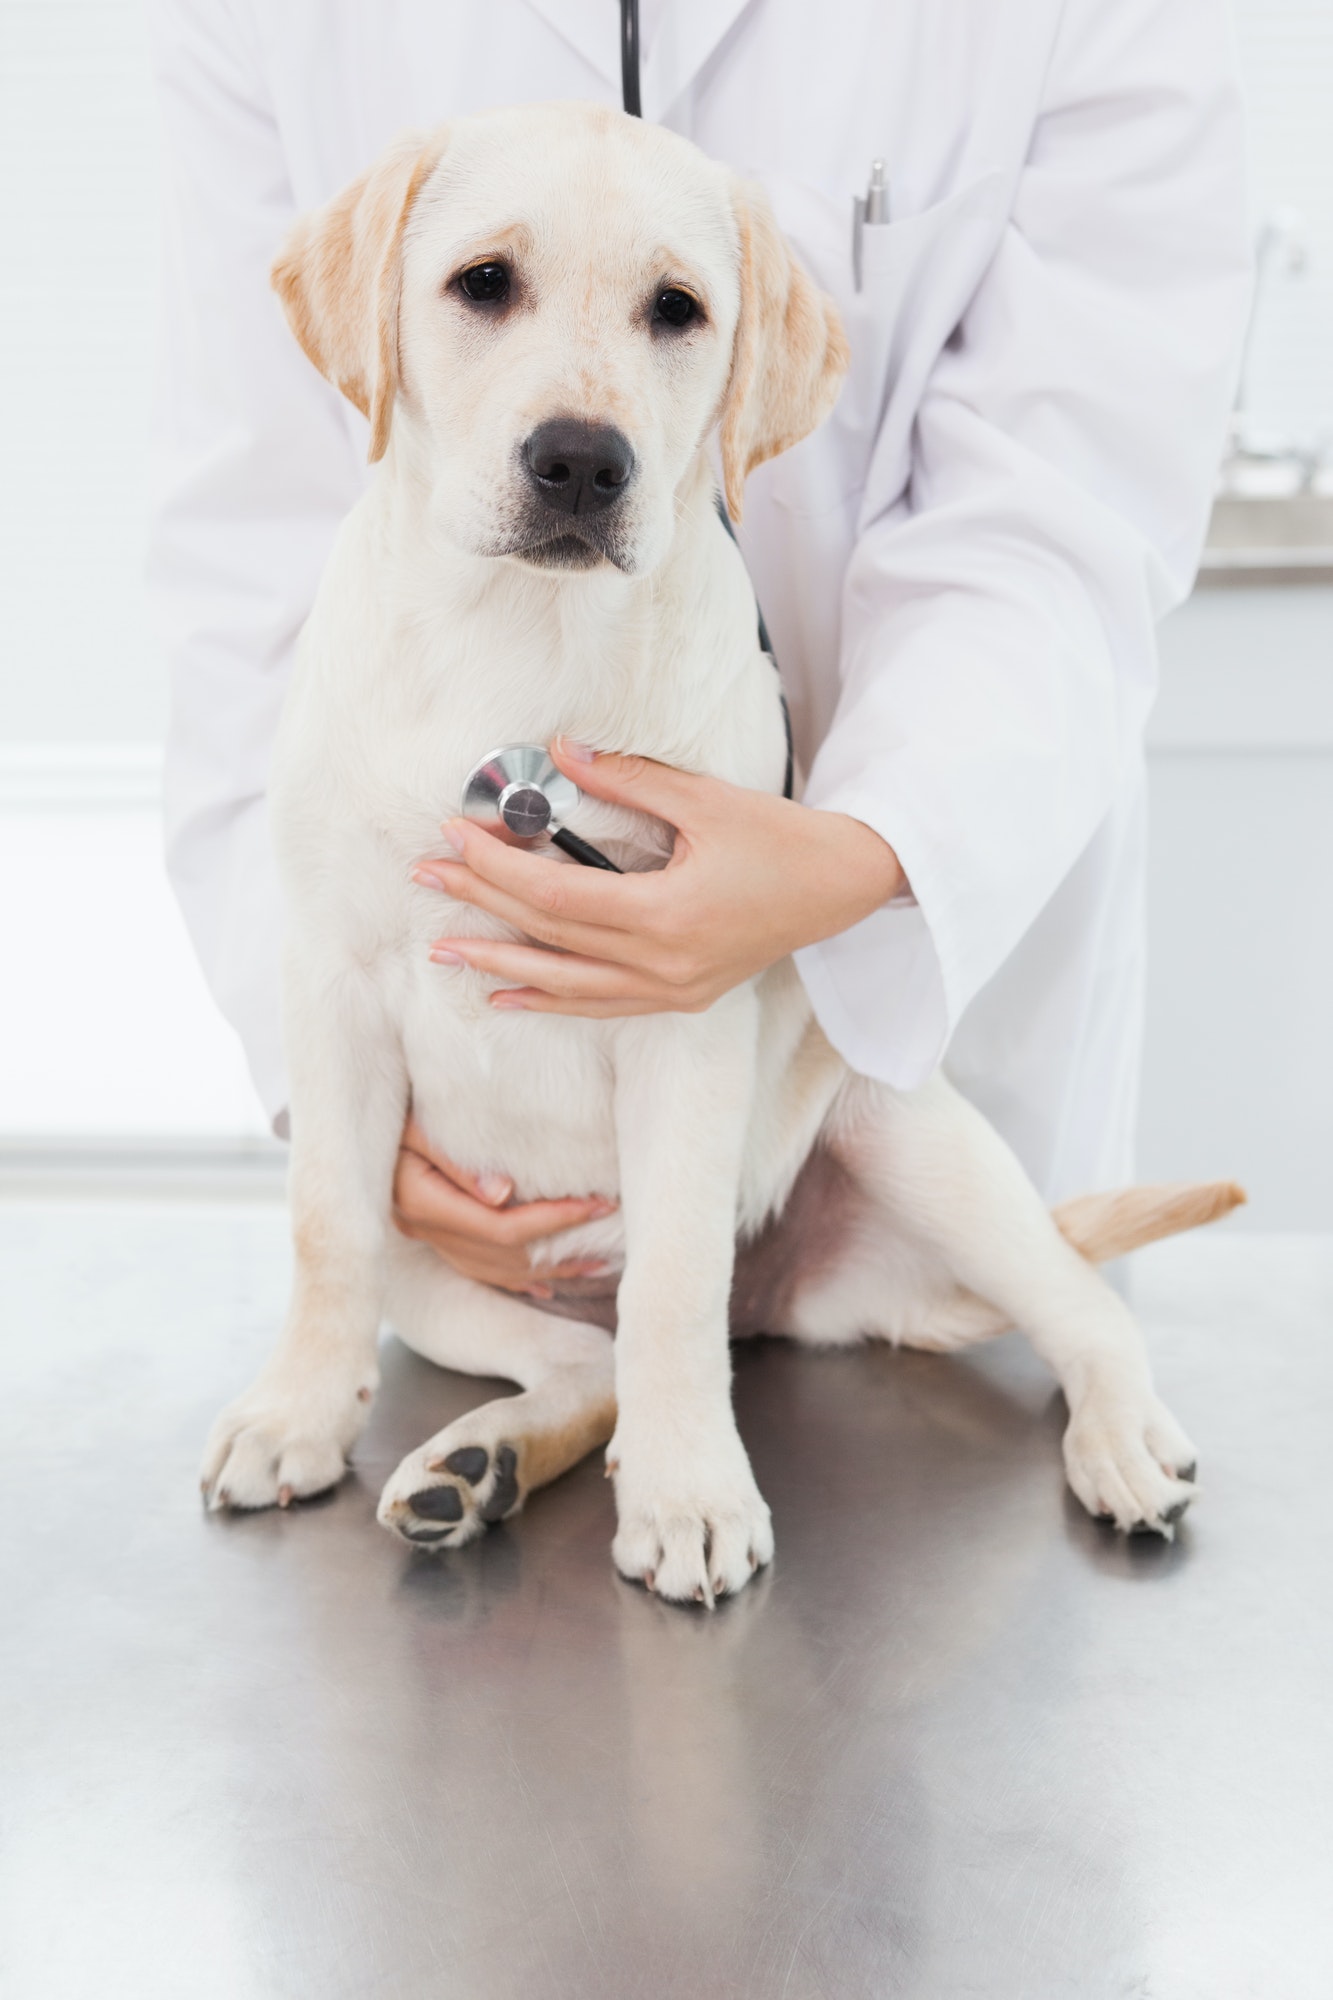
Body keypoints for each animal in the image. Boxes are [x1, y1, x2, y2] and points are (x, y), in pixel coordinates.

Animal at [202, 105, 1240, 1608]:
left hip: (909, 1132)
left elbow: (675, 1279)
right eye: (481, 284)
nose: (582, 462)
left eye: (677, 311)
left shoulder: (680, 1006)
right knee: (577, 1361)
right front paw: (296, 1412)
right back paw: (474, 1465)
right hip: (443, 1269)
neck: (519, 631)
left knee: (1067, 1301)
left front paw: (690, 1490)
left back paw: (1121, 1441)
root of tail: (794, 1302)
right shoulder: (331, 995)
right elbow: (323, 1225)